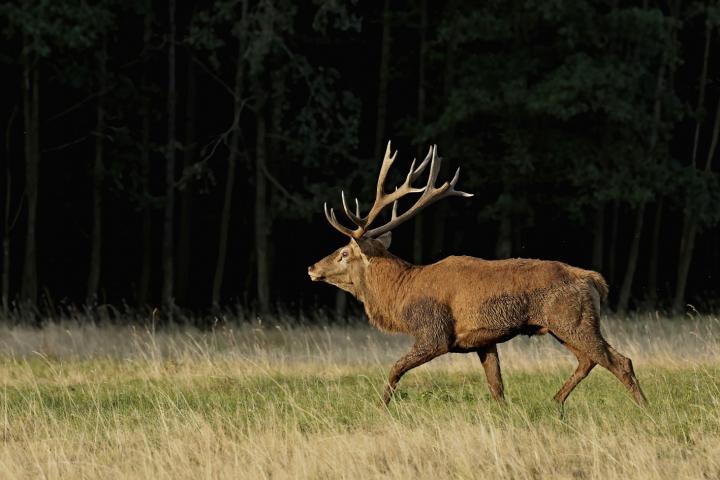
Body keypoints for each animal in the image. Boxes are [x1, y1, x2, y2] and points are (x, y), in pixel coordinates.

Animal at [306, 142, 648, 408]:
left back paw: (644, 409)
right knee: (589, 360)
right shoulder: (483, 340)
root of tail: (594, 280)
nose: (311, 268)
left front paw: (380, 407)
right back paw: (555, 402)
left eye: (344, 253)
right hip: (562, 326)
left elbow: (395, 369)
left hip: (573, 320)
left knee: (619, 361)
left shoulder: (434, 333)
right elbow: (496, 387)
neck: (400, 296)